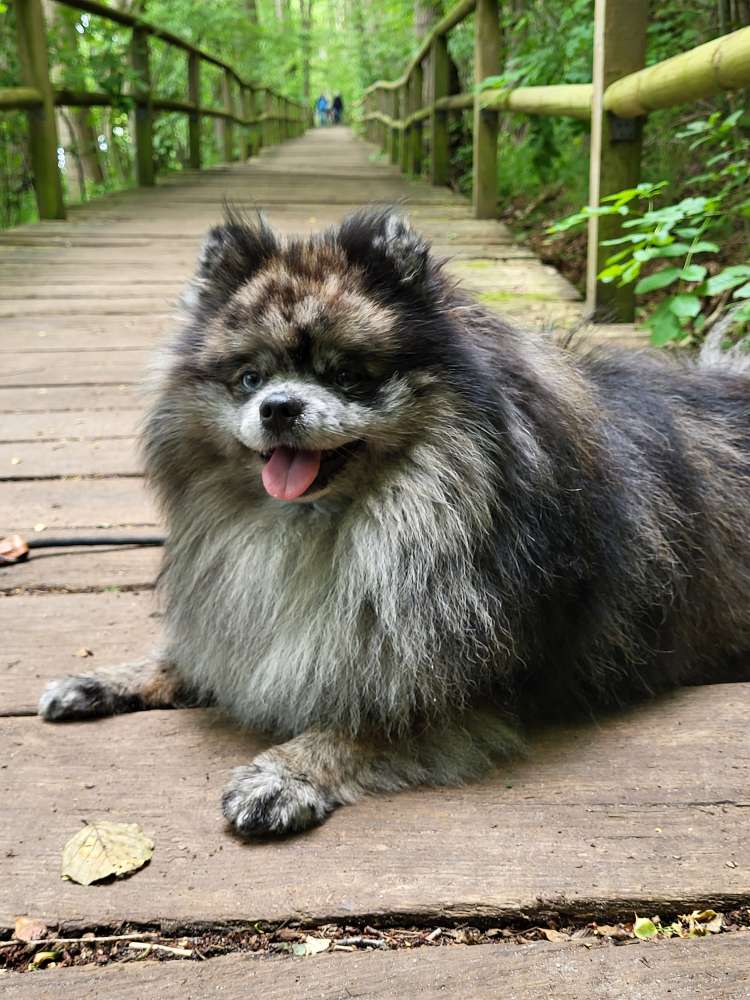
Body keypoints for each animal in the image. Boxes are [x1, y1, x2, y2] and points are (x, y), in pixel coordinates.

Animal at [39, 209, 750, 836]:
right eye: (249, 378)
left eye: (348, 375)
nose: (278, 406)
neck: (333, 525)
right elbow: (189, 657)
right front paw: (103, 680)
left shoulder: (463, 685)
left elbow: (362, 725)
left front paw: (285, 773)